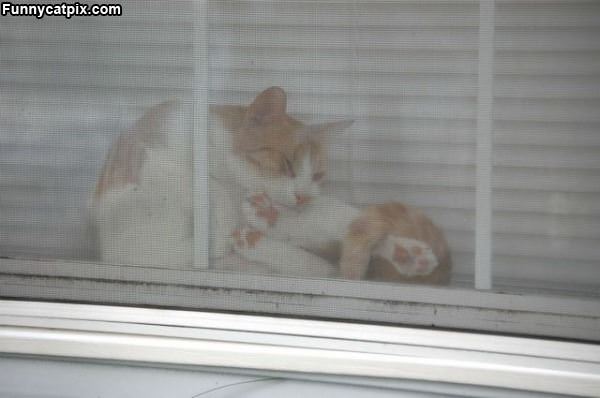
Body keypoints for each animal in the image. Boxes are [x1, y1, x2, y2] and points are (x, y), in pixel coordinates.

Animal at [92, 87, 450, 282]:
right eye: (287, 164)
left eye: (317, 175)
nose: (303, 196)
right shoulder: (152, 165)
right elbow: (205, 188)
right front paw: (219, 232)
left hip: (328, 217)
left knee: (334, 246)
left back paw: (407, 253)